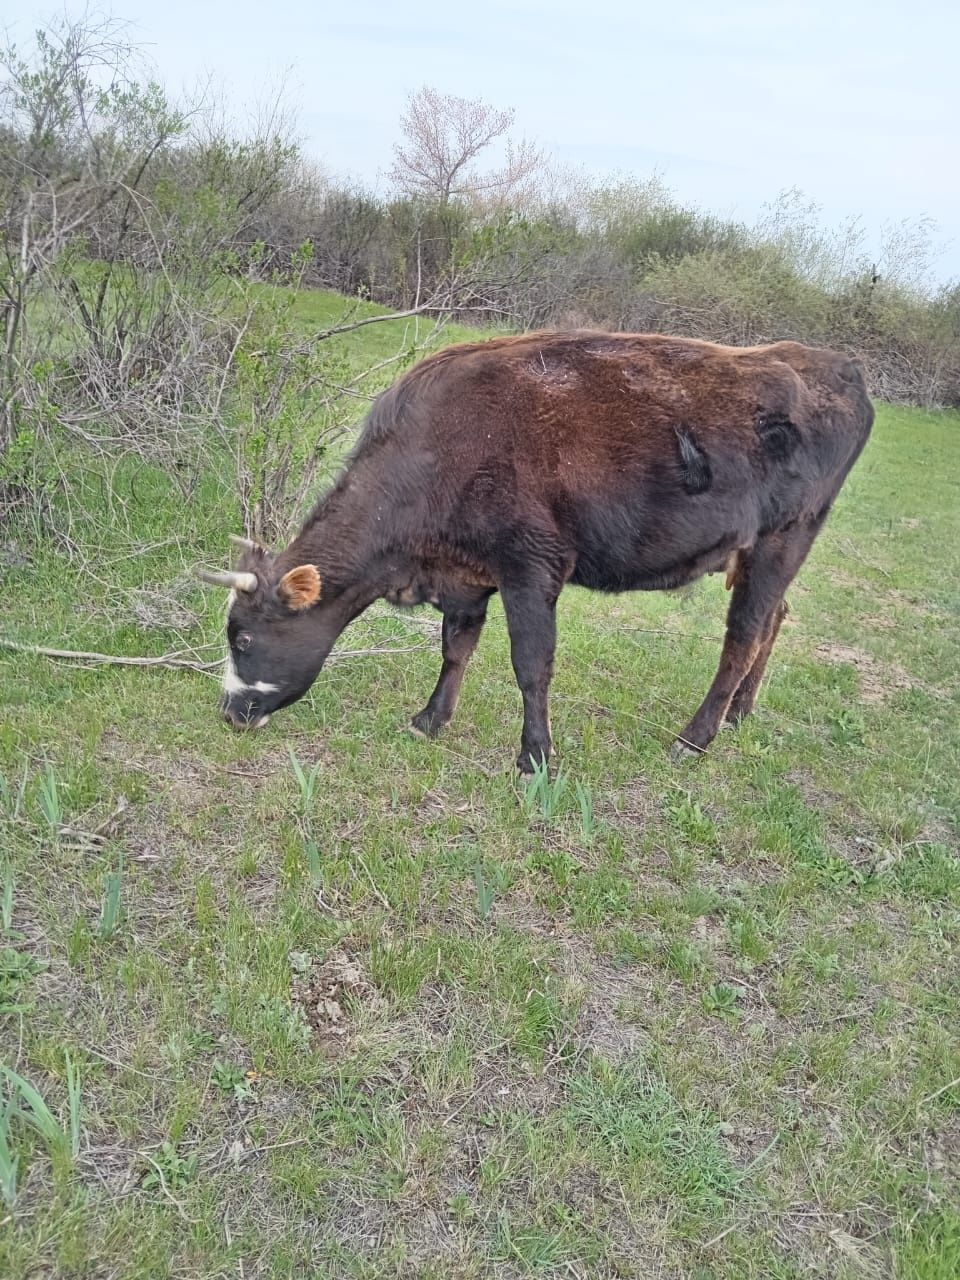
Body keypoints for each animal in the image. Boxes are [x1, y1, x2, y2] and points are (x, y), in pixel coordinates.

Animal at [199, 330, 875, 768]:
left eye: (245, 639)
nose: (230, 712)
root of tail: (835, 363)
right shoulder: (466, 575)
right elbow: (456, 648)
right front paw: (430, 720)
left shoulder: (531, 566)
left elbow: (531, 663)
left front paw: (536, 755)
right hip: (766, 553)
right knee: (775, 619)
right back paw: (739, 713)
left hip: (784, 538)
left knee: (743, 636)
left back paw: (696, 737)